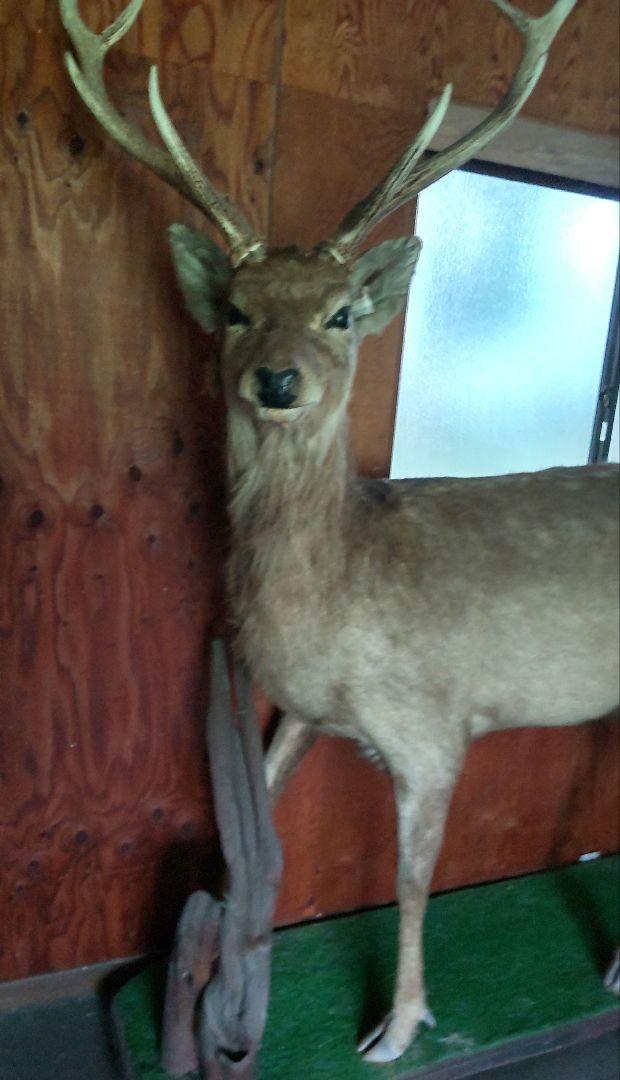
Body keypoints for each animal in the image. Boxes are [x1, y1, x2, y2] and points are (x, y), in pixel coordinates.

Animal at [61, 0, 619, 1065]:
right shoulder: (299, 709)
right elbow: (250, 830)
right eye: (237, 310)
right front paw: (198, 987)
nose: (277, 379)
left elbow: (409, 883)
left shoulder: (437, 727)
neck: (341, 595)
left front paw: (397, 1028)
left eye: (343, 313)